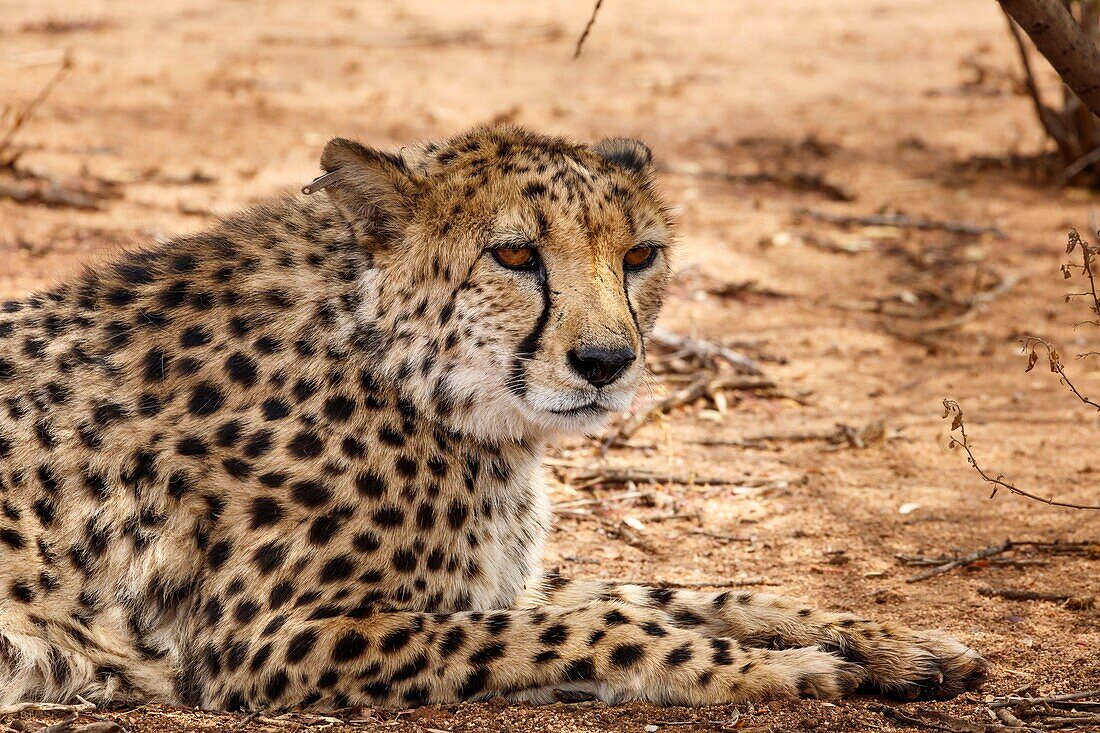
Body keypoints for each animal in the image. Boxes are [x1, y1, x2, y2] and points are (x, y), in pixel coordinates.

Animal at [0, 125, 985, 708]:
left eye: (639, 255)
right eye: (513, 254)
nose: (605, 362)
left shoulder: (487, 579)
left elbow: (686, 589)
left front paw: (891, 641)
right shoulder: (272, 639)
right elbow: (595, 627)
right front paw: (779, 669)